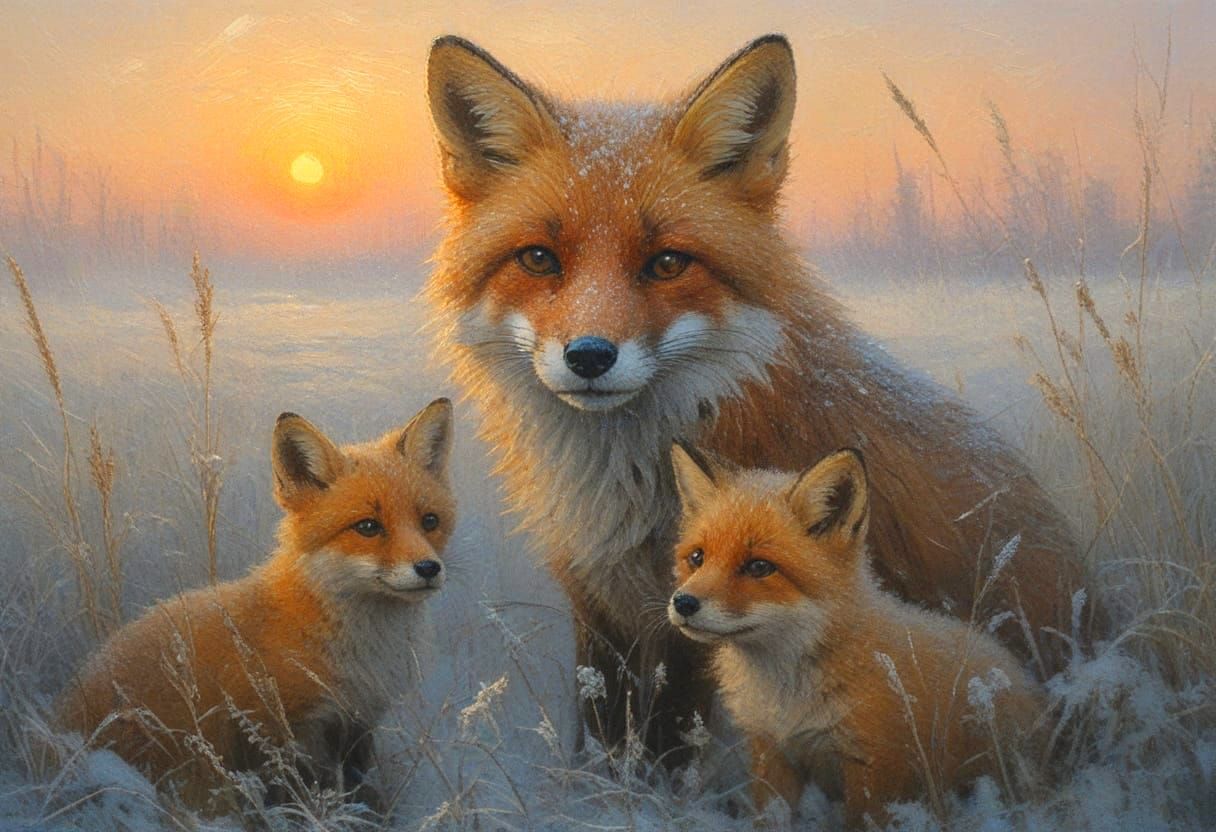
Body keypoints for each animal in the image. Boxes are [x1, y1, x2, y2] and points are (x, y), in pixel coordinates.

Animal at [54, 399, 455, 813]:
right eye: (368, 527)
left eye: (430, 521)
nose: (429, 568)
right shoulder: (278, 729)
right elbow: (291, 801)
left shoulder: (359, 721)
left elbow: (361, 793)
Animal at [424, 33, 1095, 760]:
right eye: (540, 259)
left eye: (667, 263)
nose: (590, 356)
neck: (625, 490)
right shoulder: (601, 608)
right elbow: (606, 742)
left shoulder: (695, 621)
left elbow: (674, 749)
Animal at [668, 443, 1045, 827]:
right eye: (697, 558)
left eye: (759, 566)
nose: (683, 603)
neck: (788, 693)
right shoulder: (774, 753)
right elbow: (770, 819)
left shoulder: (873, 766)